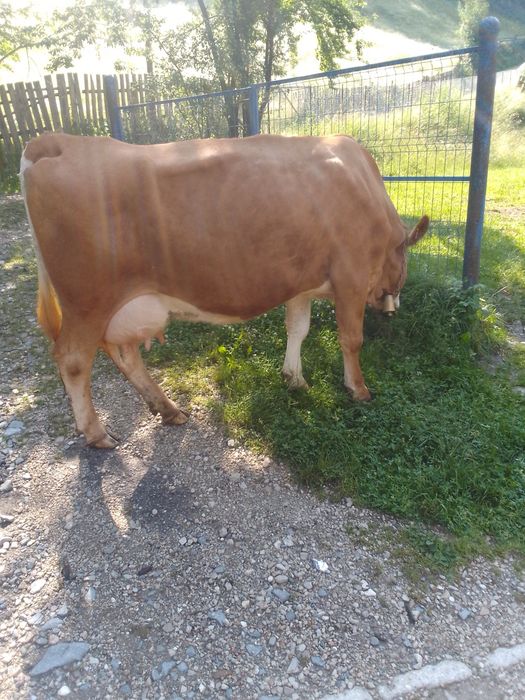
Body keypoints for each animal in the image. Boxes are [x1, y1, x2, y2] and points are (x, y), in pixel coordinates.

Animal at [20, 132, 428, 448]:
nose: (392, 307)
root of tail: (61, 141)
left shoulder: (300, 285)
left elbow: (298, 329)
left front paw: (294, 378)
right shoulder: (352, 276)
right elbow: (351, 340)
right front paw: (358, 389)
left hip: (118, 306)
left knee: (125, 354)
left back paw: (168, 409)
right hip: (87, 302)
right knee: (73, 360)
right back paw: (96, 432)